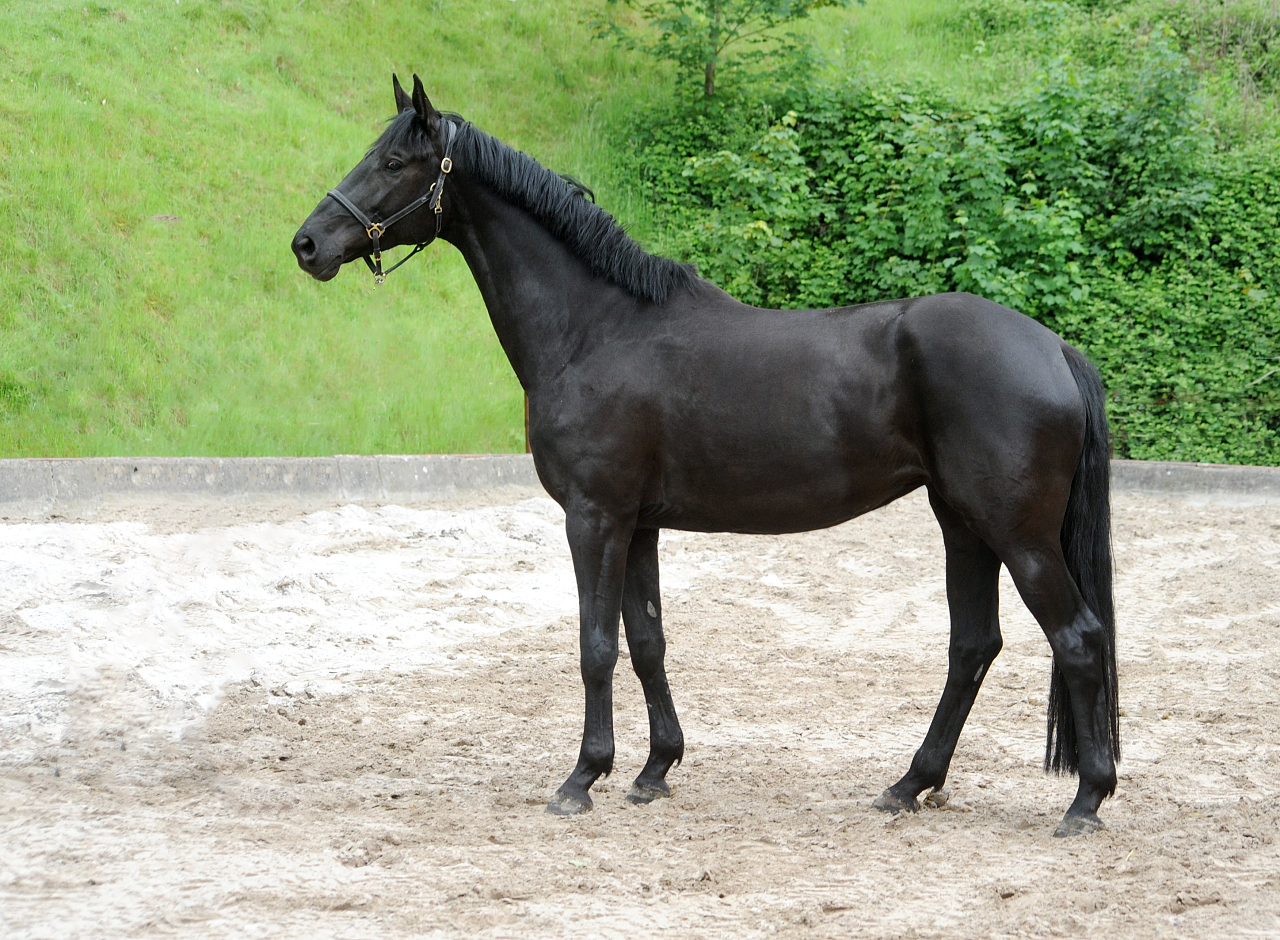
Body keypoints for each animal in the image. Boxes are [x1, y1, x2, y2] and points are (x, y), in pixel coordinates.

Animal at [293, 75, 1121, 840]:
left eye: (394, 161)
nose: (307, 245)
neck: (596, 328)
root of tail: (1054, 348)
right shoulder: (638, 524)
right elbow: (647, 642)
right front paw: (654, 769)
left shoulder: (594, 517)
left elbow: (596, 646)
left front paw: (582, 778)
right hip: (963, 526)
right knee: (973, 647)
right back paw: (908, 784)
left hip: (1016, 535)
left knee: (1078, 640)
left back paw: (1085, 800)